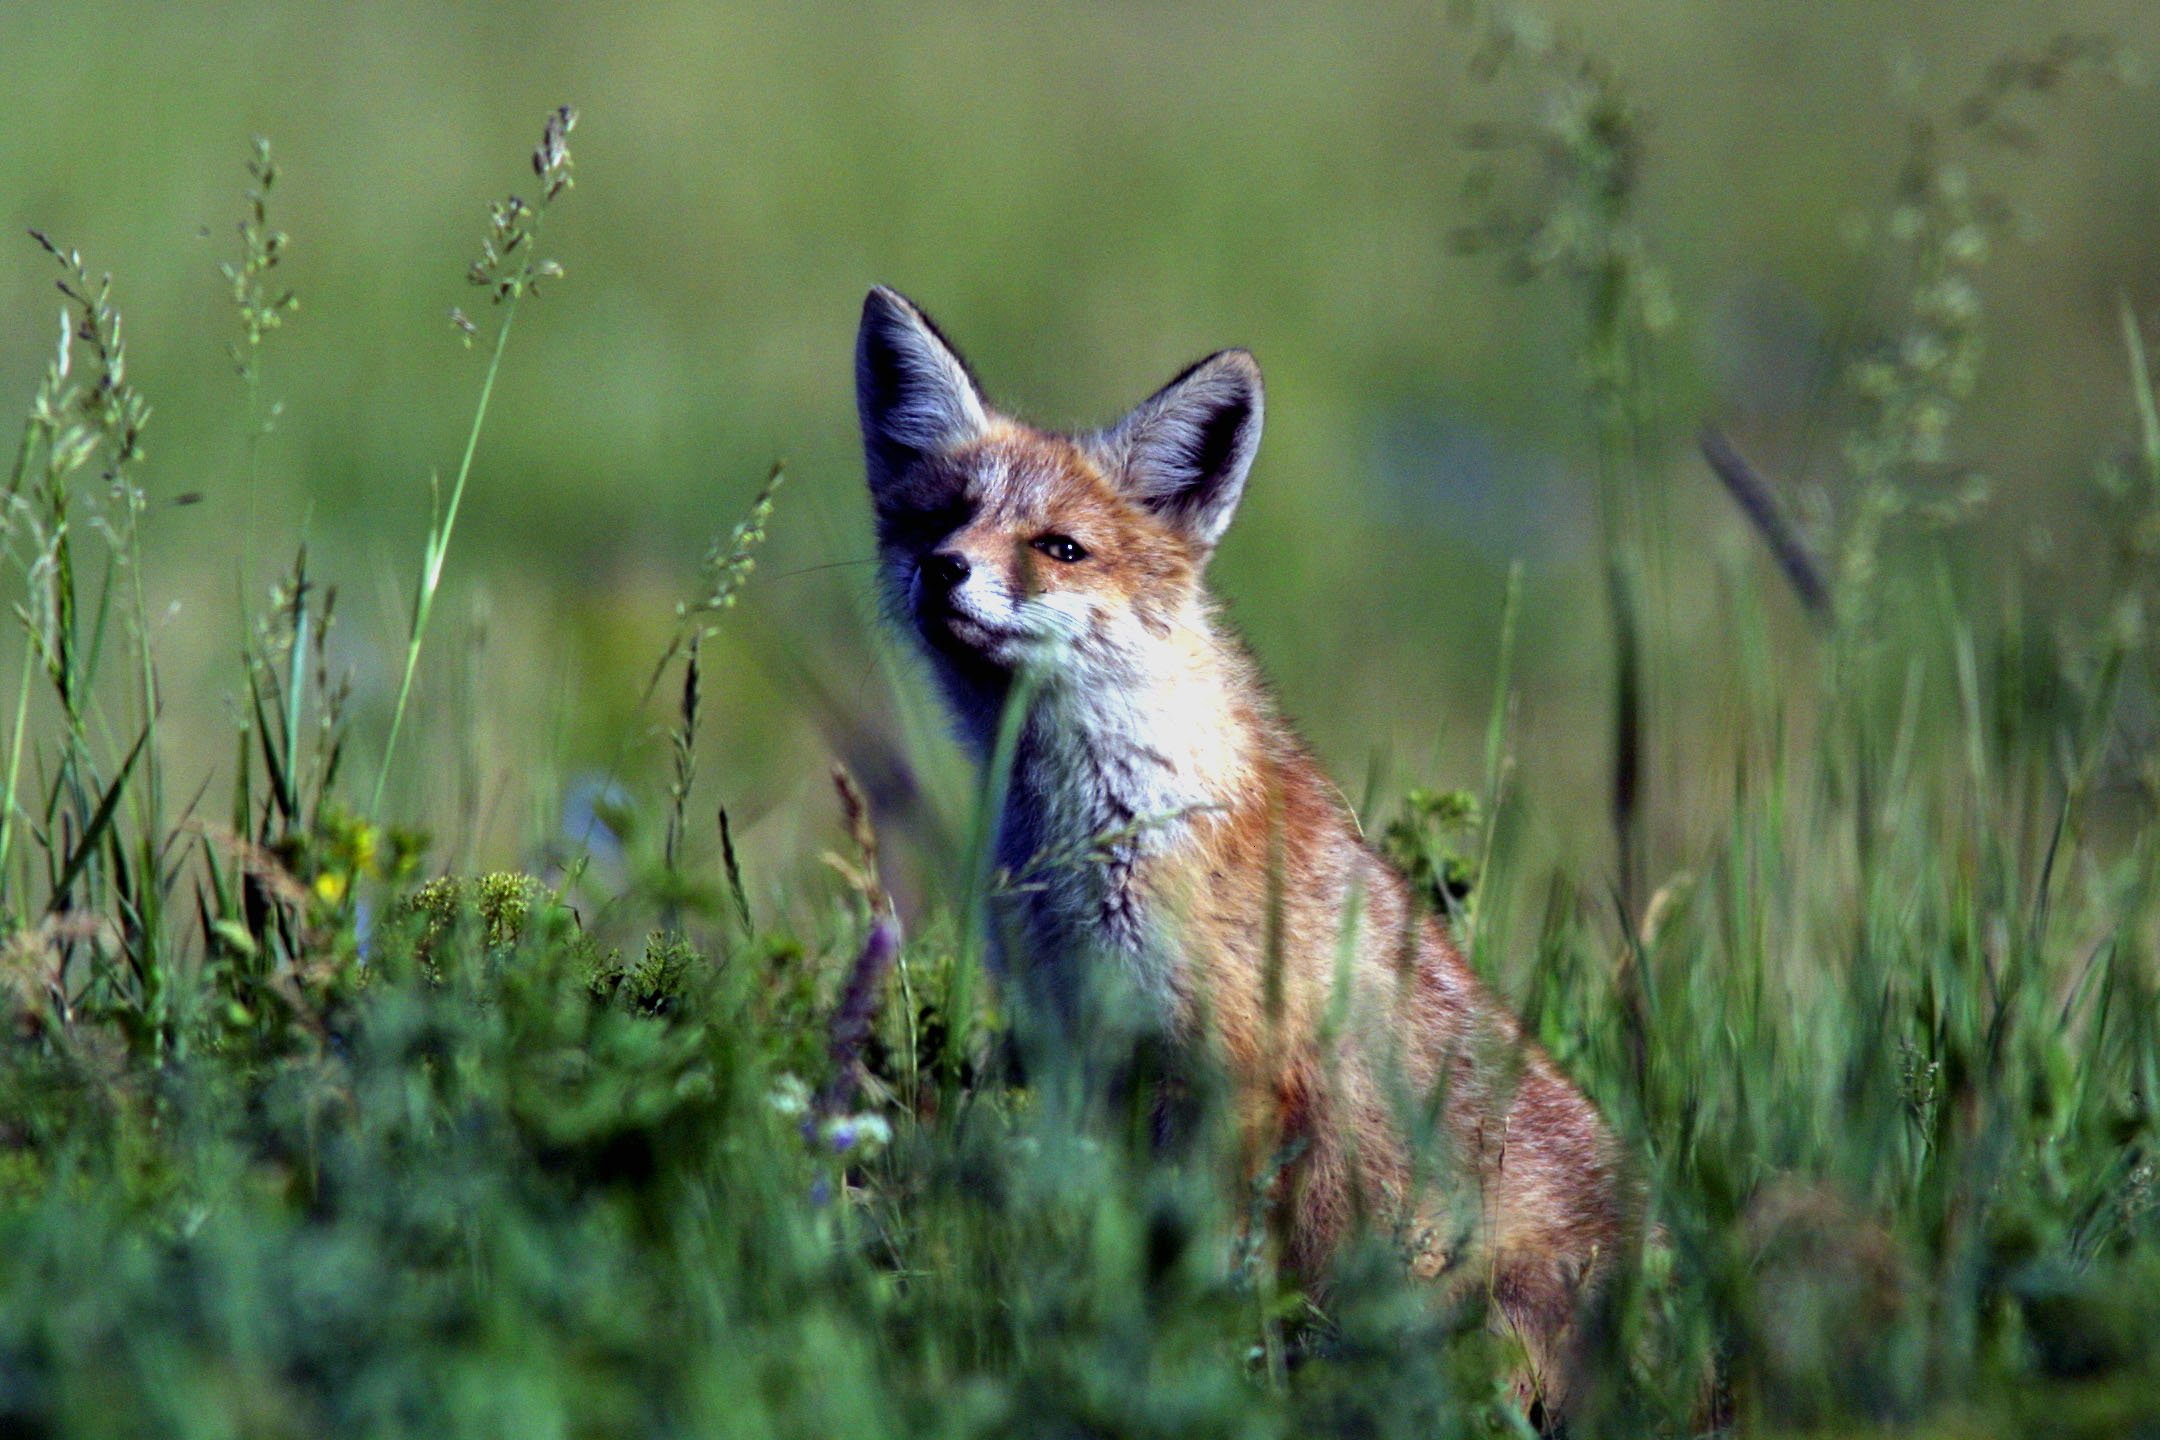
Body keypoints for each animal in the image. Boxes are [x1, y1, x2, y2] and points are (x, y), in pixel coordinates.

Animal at [851, 287, 1624, 1416]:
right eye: (938, 517)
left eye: (1059, 548)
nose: (944, 569)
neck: (1100, 831)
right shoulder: (1081, 1047)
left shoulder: (1231, 1074)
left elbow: (1206, 1276)